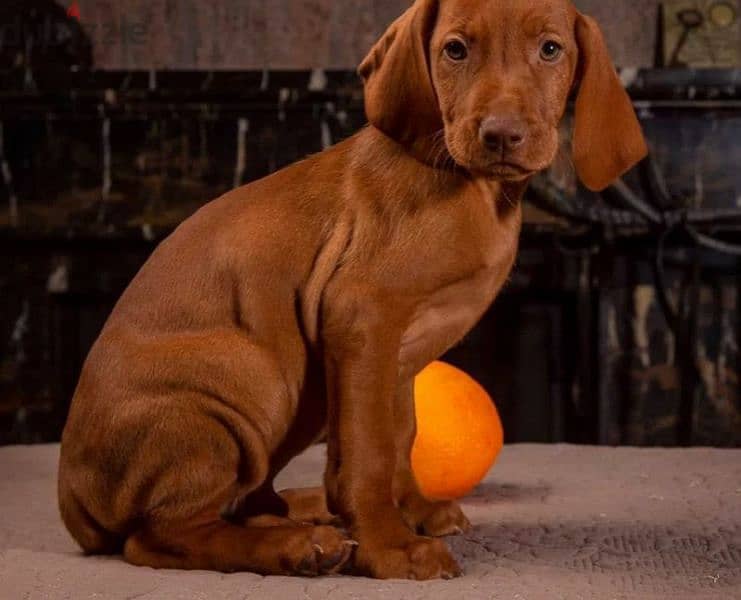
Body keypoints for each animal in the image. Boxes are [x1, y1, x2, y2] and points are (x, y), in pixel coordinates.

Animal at [59, 0, 648, 580]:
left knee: (245, 501)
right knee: (161, 535)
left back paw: (301, 512)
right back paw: (298, 545)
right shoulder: (363, 315)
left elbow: (399, 438)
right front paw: (392, 547)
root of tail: (73, 500)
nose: (501, 135)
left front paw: (412, 511)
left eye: (551, 49)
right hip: (252, 381)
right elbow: (368, 451)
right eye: (455, 50)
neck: (477, 189)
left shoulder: (399, 356)